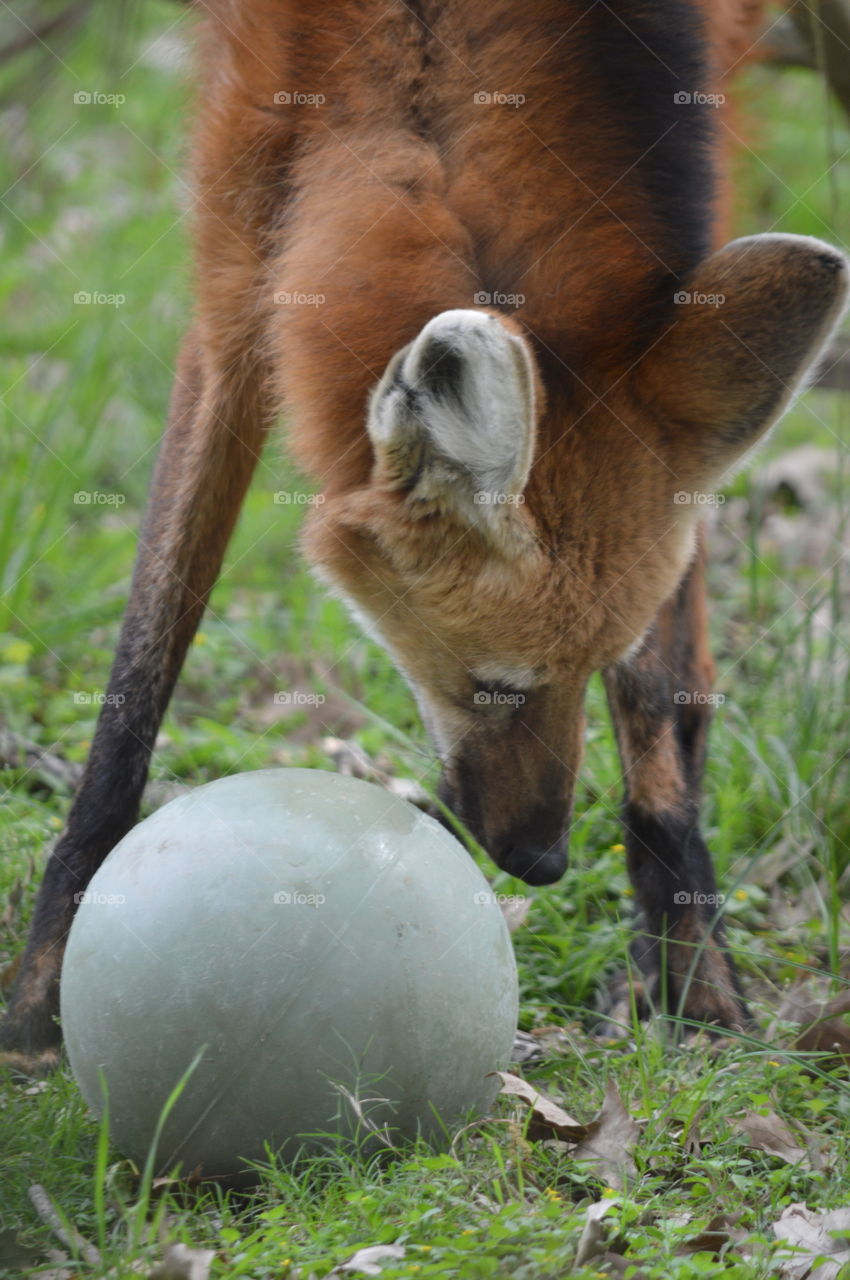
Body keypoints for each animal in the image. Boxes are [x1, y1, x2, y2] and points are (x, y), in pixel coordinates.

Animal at [2, 0, 848, 1074]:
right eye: (492, 685)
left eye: (585, 670)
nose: (542, 860)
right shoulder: (242, 251)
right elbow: (133, 696)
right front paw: (38, 1003)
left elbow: (660, 693)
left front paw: (697, 981)